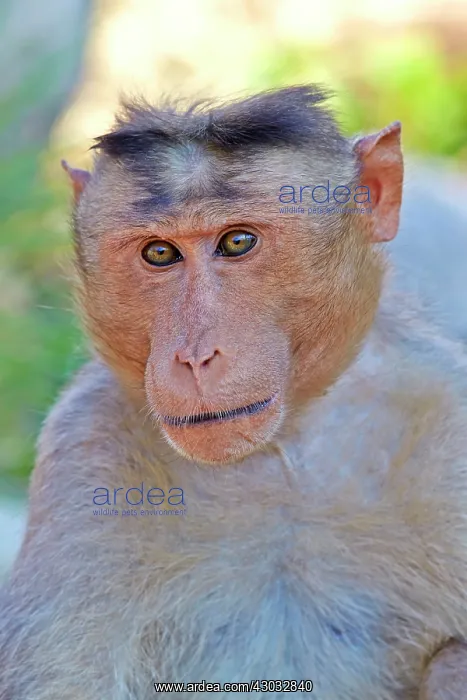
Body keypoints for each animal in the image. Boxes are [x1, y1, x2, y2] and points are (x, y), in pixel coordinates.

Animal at [1, 85, 467, 700]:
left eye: (237, 242)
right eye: (159, 253)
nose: (195, 357)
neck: (282, 453)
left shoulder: (450, 422)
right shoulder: (87, 445)